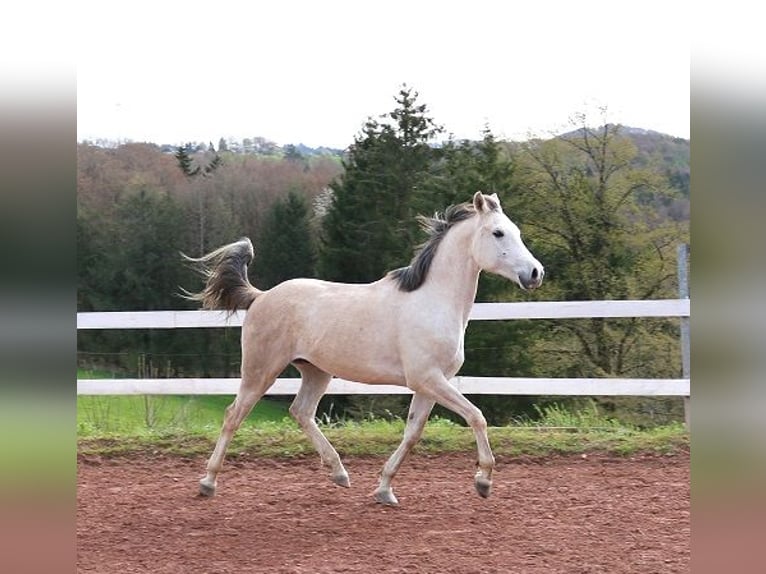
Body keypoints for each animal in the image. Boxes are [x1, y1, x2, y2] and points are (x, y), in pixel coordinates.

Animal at [183, 191, 544, 506]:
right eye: (498, 233)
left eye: (516, 231)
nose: (536, 273)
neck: (432, 301)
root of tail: (261, 296)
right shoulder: (428, 379)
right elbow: (477, 417)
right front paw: (483, 481)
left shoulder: (429, 385)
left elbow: (413, 433)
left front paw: (384, 489)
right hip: (261, 370)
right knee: (234, 415)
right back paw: (208, 483)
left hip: (316, 371)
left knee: (301, 411)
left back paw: (339, 473)